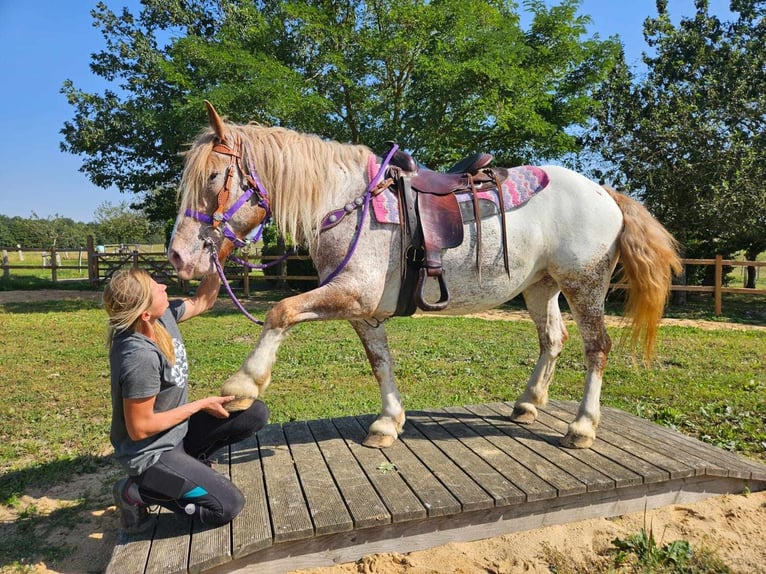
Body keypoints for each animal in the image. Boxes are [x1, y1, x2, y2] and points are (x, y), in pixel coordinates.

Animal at [170, 101, 684, 452]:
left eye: (214, 177)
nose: (178, 256)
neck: (347, 203)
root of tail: (605, 192)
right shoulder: (362, 311)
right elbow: (380, 362)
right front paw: (387, 423)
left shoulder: (349, 295)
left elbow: (280, 311)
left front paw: (242, 385)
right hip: (541, 288)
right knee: (552, 340)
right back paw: (528, 403)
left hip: (584, 285)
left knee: (597, 348)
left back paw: (582, 427)